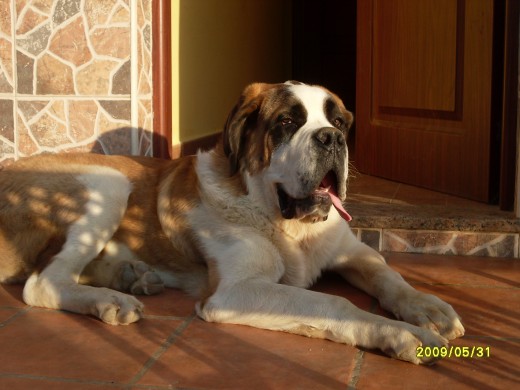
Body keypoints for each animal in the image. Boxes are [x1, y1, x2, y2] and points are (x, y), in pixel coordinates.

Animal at [0, 80, 464, 364]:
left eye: (338, 122)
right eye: (287, 122)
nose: (332, 138)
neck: (287, 224)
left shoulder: (352, 250)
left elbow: (387, 273)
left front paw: (427, 308)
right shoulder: (236, 291)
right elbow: (332, 303)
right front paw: (401, 334)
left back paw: (132, 277)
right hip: (108, 182)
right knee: (43, 282)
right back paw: (109, 300)